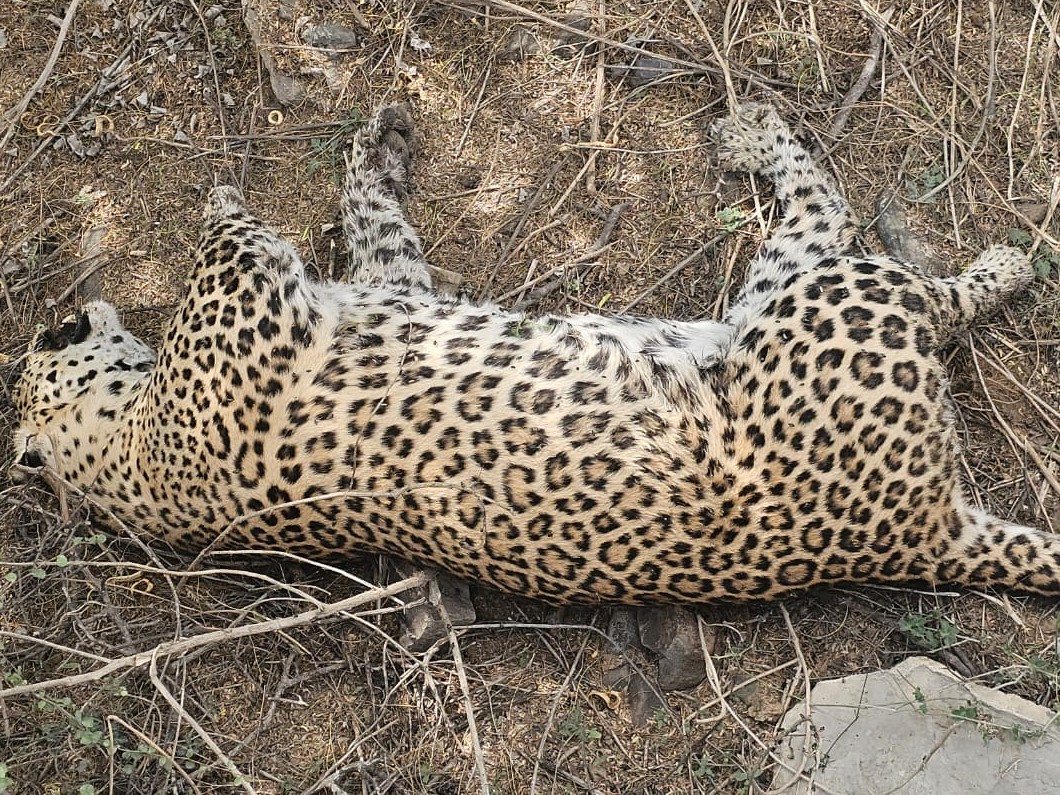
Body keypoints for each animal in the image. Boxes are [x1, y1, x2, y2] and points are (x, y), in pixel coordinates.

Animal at [9, 101, 1057, 605]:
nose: (60, 314)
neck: (128, 451)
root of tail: (922, 535)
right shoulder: (242, 316)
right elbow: (228, 243)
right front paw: (226, 198)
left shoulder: (389, 283)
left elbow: (373, 222)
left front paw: (373, 149)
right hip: (821, 303)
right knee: (887, 260)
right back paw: (996, 253)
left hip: (783, 304)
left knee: (840, 224)